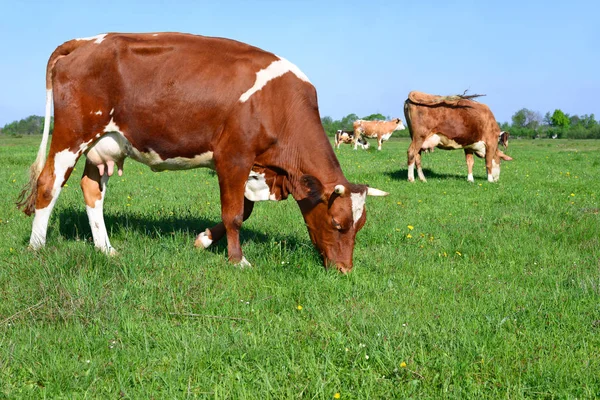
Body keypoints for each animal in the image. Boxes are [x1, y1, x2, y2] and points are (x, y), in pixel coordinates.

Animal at [16, 32, 390, 274]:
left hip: (101, 145)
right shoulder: (233, 158)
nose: (344, 270)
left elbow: (243, 212)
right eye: (338, 223)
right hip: (72, 135)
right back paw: (37, 247)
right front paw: (238, 261)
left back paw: (106, 250)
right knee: (48, 185)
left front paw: (203, 240)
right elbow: (235, 214)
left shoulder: (252, 168)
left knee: (92, 191)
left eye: (360, 226)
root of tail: (86, 41)